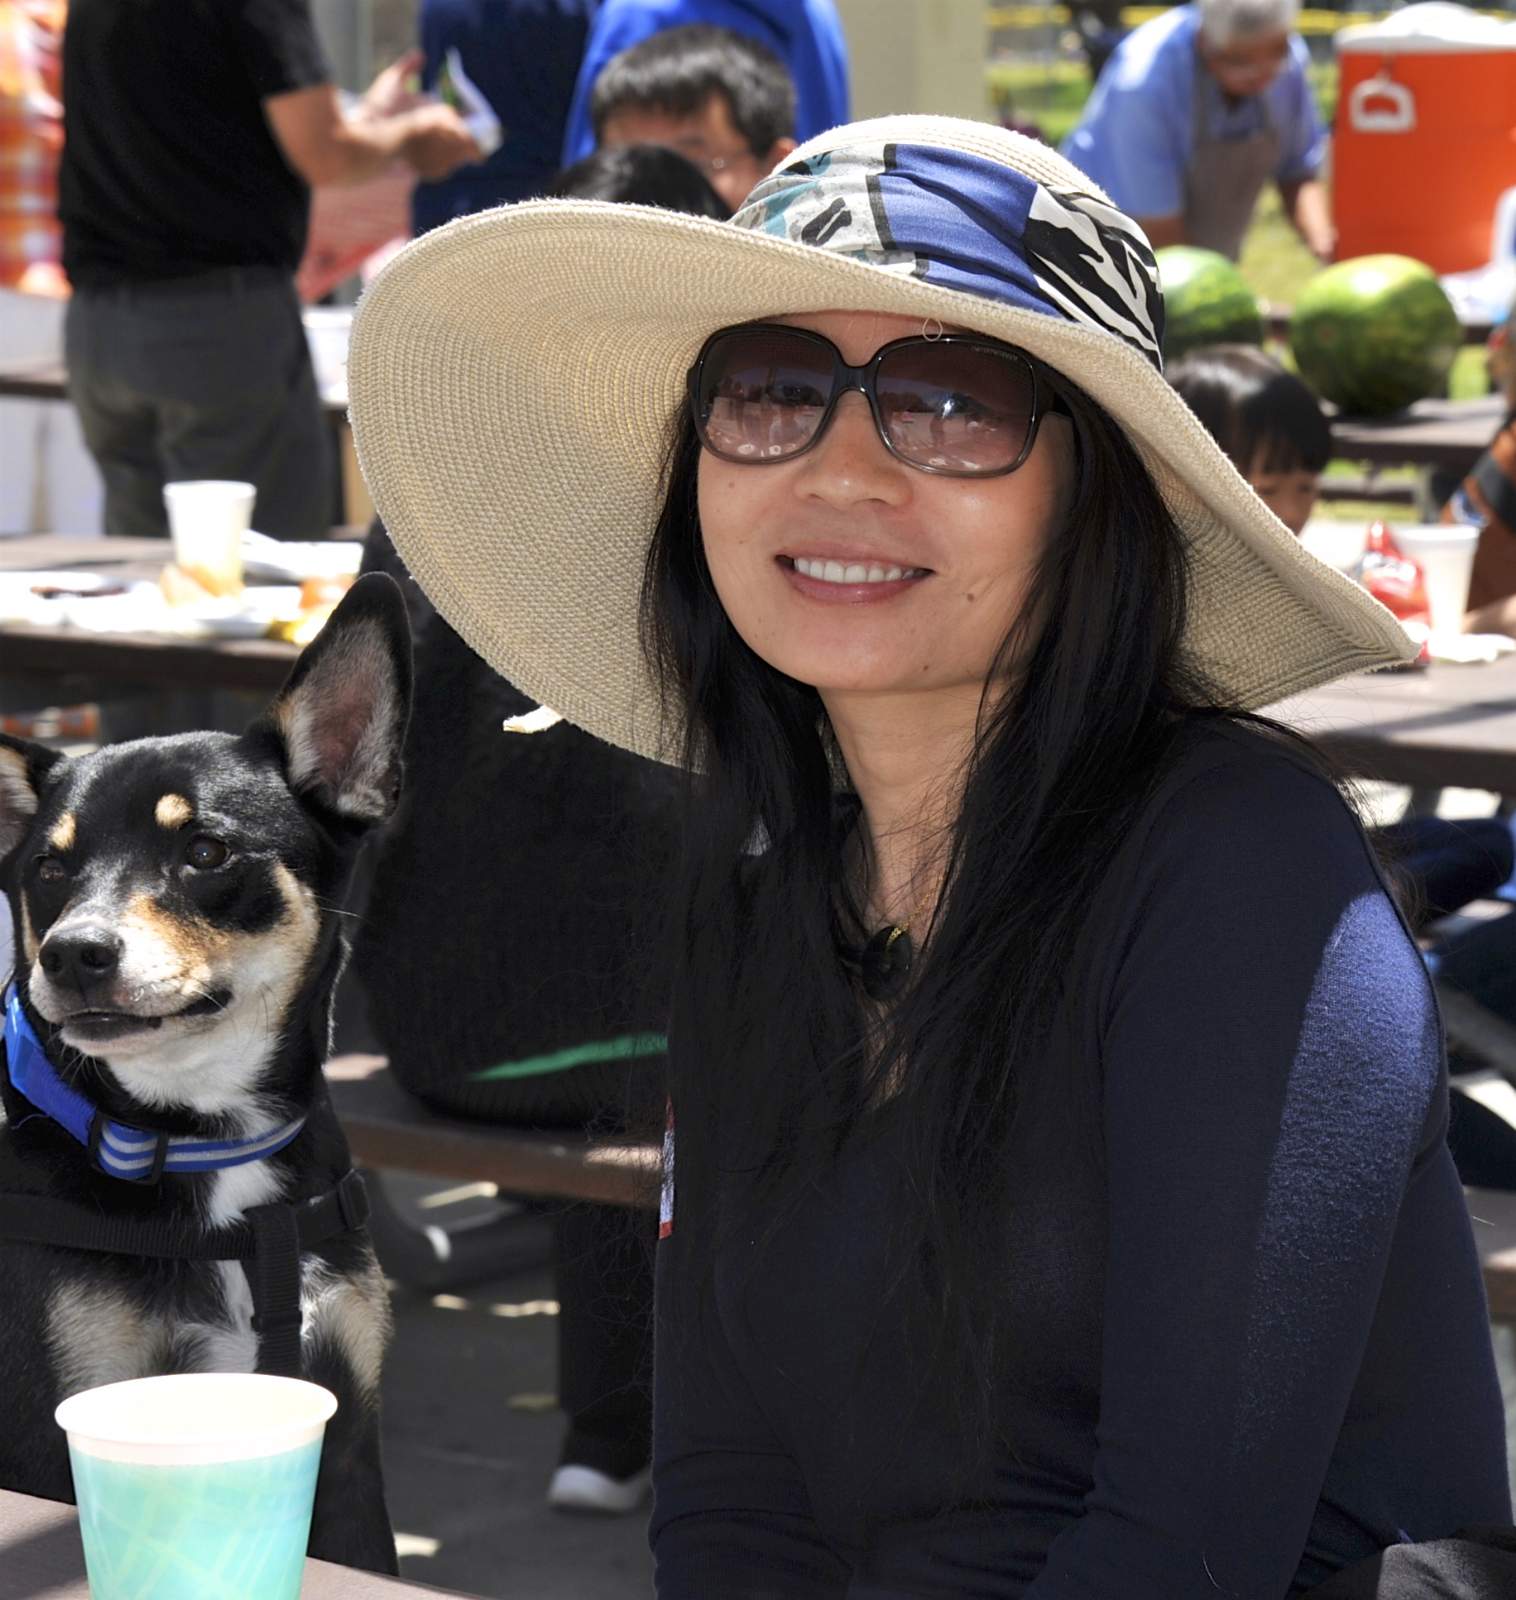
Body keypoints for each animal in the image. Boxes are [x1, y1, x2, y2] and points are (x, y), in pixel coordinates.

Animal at [0, 573, 411, 1575]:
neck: (198, 1144)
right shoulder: (60, 1420)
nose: (72, 955)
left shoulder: (347, 1444)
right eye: (49, 868)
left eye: (206, 852)